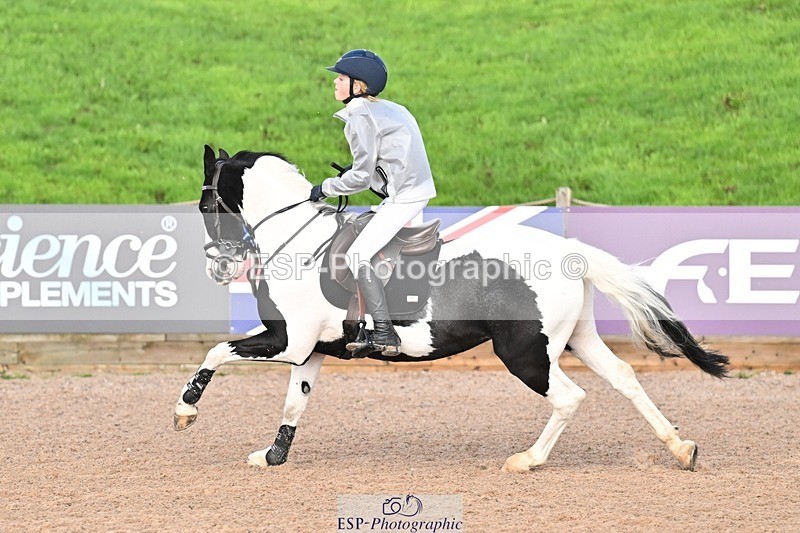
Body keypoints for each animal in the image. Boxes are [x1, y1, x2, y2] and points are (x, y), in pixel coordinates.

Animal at [173, 145, 729, 472]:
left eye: (205, 206)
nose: (220, 266)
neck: (298, 240)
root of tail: (571, 253)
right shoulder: (312, 350)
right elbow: (295, 403)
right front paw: (273, 456)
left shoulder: (288, 341)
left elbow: (216, 352)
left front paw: (185, 411)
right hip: (575, 338)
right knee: (625, 378)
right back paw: (681, 448)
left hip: (525, 353)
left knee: (570, 397)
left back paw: (528, 460)